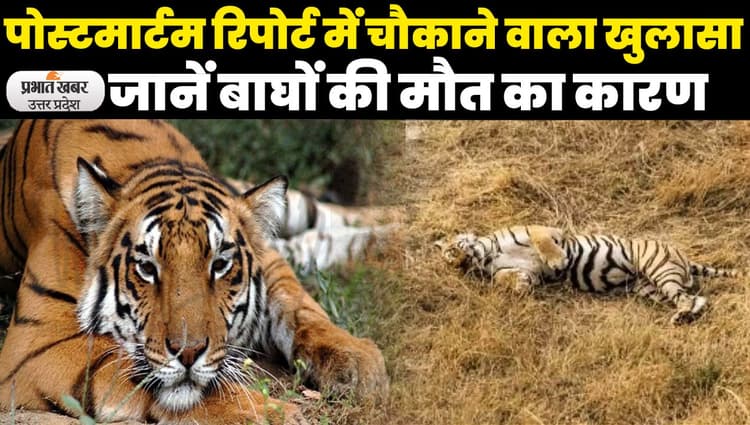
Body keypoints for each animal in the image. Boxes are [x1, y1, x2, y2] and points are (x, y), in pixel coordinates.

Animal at [0, 119, 388, 425]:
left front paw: (356, 359)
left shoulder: (267, 256)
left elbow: (300, 305)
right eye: (146, 268)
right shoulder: (38, 342)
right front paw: (267, 413)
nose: (188, 353)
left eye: (220, 265)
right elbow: (140, 371)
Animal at [438, 225, 748, 325]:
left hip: (658, 269)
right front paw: (520, 287)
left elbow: (543, 243)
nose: (461, 265)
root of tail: (682, 255)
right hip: (651, 288)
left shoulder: (543, 229)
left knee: (690, 297)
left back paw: (681, 316)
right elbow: (511, 278)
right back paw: (683, 317)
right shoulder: (522, 271)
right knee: (695, 299)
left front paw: (558, 260)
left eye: (452, 253)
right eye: (453, 263)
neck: (487, 254)